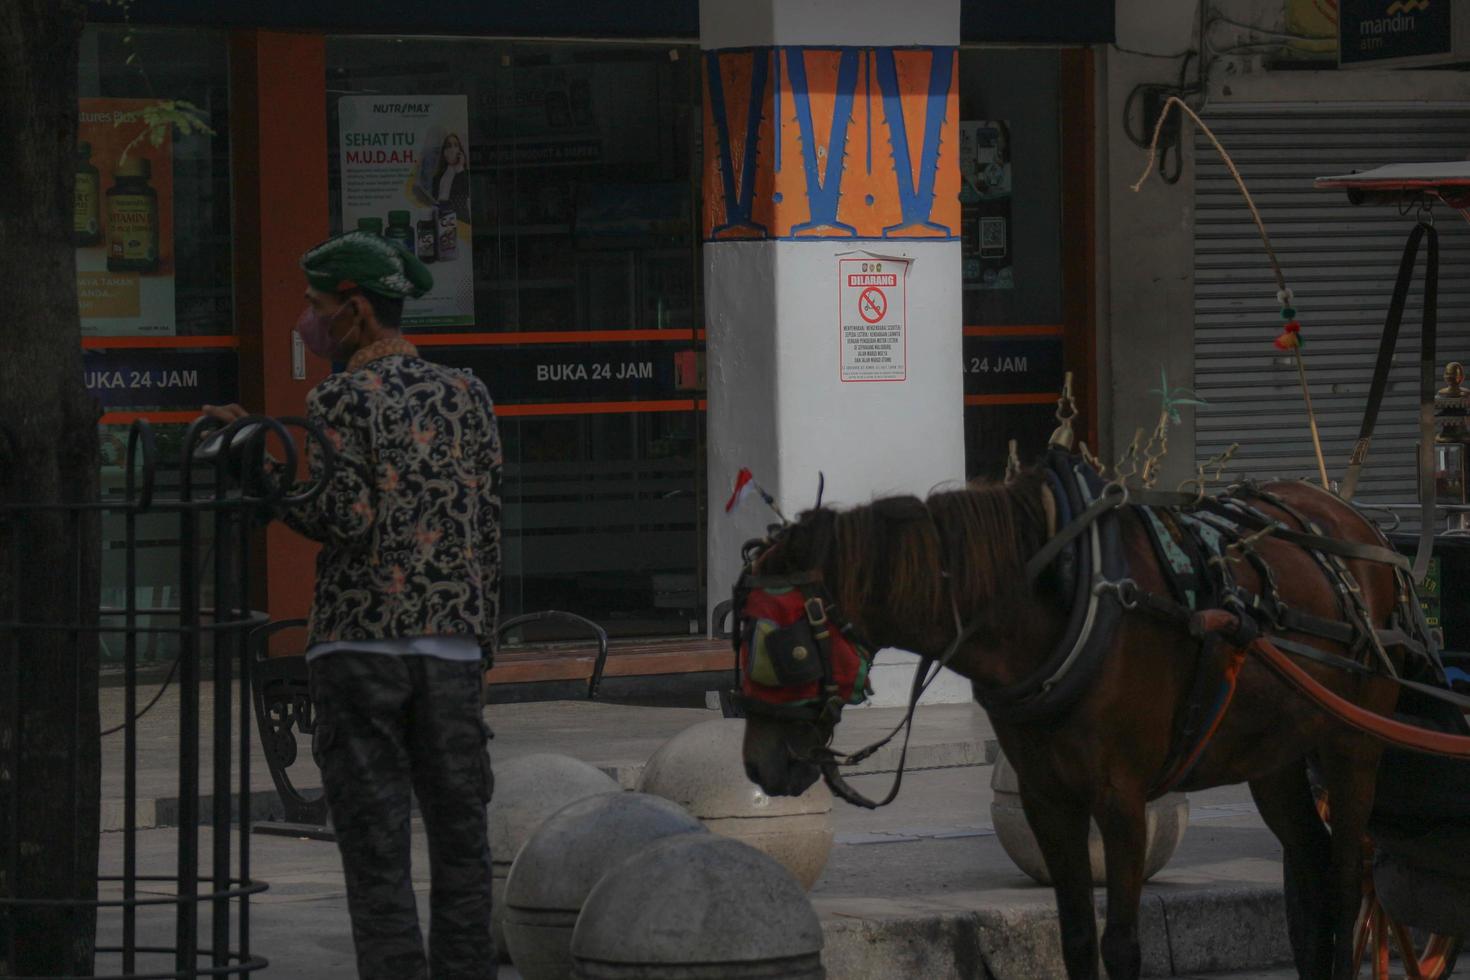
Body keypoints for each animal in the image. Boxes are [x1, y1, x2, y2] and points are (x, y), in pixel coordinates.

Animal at [735, 467, 1399, 980]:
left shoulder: (1122, 802)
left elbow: (1122, 946)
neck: (1067, 596)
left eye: (788, 649)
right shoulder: (1047, 798)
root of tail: (1354, 520)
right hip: (1277, 756)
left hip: (1353, 745)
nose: (758, 764)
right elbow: (1076, 937)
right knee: (1311, 871)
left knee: (1347, 884)